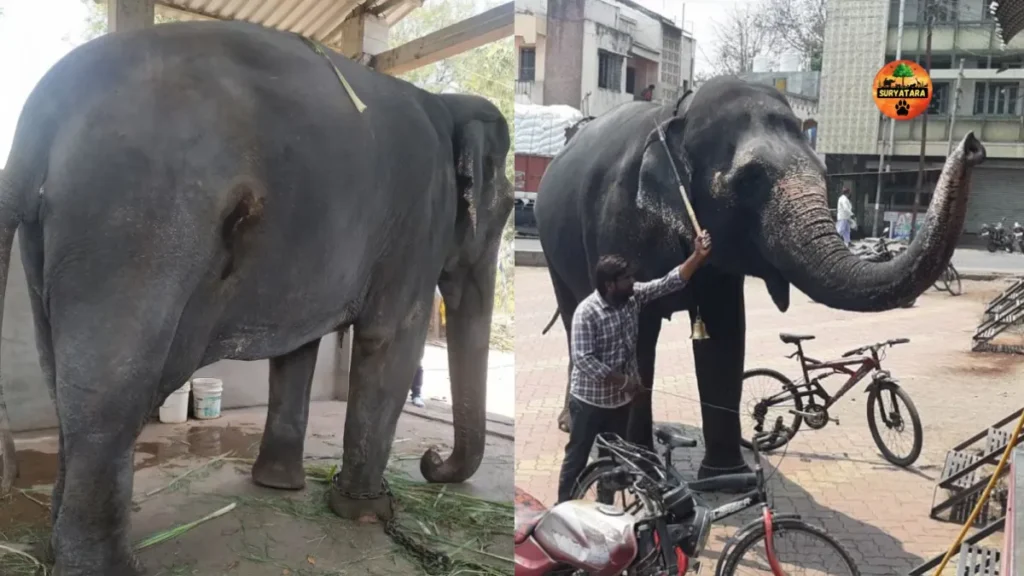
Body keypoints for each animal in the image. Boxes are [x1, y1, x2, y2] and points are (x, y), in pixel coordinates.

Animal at [0, 20, 512, 576]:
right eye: (508, 208)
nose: (432, 460)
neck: (445, 108)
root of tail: (37, 118)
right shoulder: (419, 223)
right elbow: (392, 339)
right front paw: (364, 513)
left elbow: (298, 352)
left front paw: (279, 486)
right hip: (131, 217)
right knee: (108, 390)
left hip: (51, 238)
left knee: (62, 380)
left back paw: (56, 546)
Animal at [534, 76, 984, 480]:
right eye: (750, 179)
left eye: (824, 173)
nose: (973, 145)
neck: (678, 115)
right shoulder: (620, 223)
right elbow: (639, 336)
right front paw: (641, 462)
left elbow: (725, 333)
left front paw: (726, 477)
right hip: (552, 251)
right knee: (575, 318)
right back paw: (580, 428)